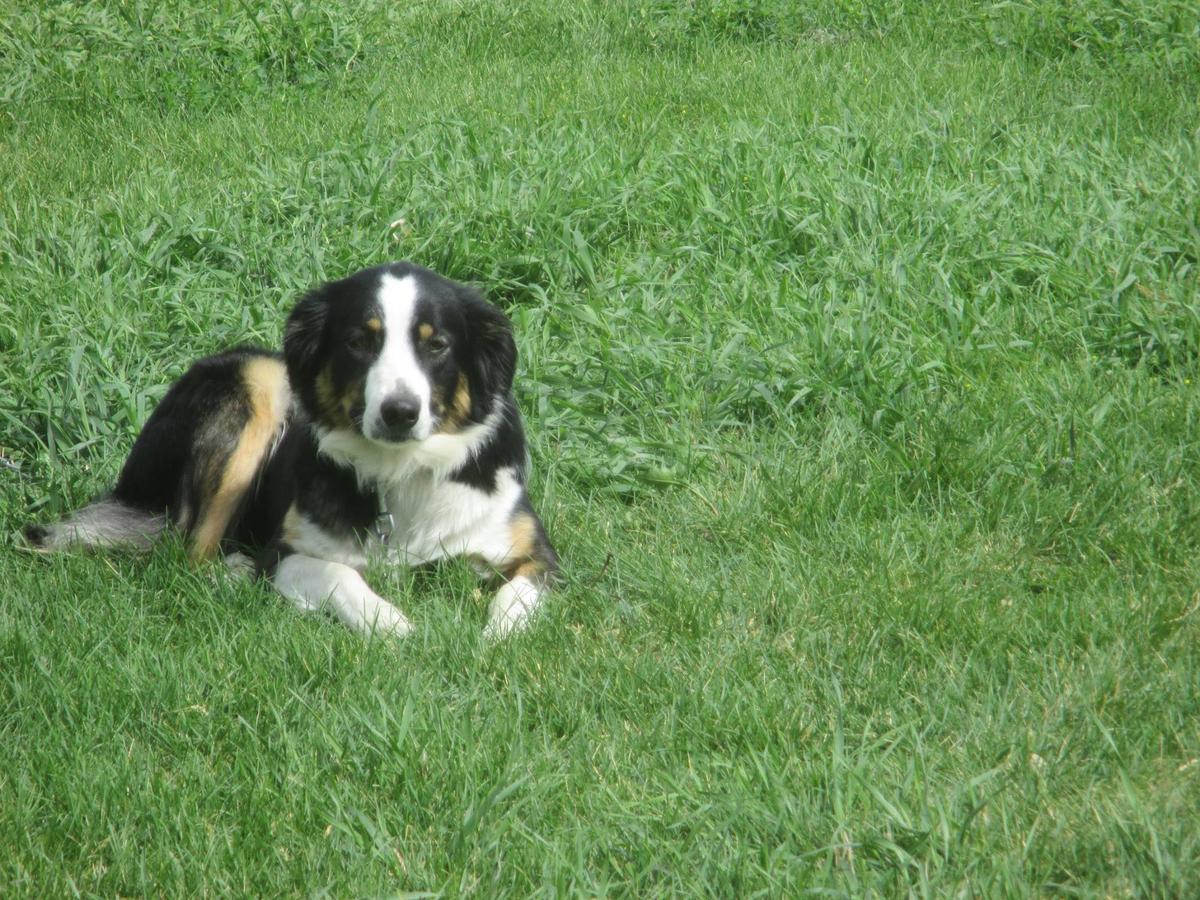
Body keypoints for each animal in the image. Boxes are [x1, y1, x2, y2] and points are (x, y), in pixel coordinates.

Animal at [23, 262, 556, 643]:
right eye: (359, 342)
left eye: (437, 344)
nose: (399, 412)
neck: (400, 469)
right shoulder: (285, 552)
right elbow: (339, 573)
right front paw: (389, 622)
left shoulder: (537, 553)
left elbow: (517, 593)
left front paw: (498, 634)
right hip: (258, 380)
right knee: (188, 555)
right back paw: (234, 571)